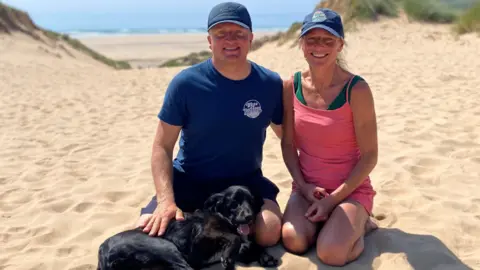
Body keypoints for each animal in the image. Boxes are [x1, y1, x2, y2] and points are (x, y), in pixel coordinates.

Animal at [96, 186, 278, 270]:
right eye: (234, 203)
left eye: (251, 202)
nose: (249, 217)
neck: (223, 218)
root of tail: (102, 250)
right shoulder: (203, 236)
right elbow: (234, 239)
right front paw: (227, 257)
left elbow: (251, 245)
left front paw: (266, 257)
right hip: (164, 247)